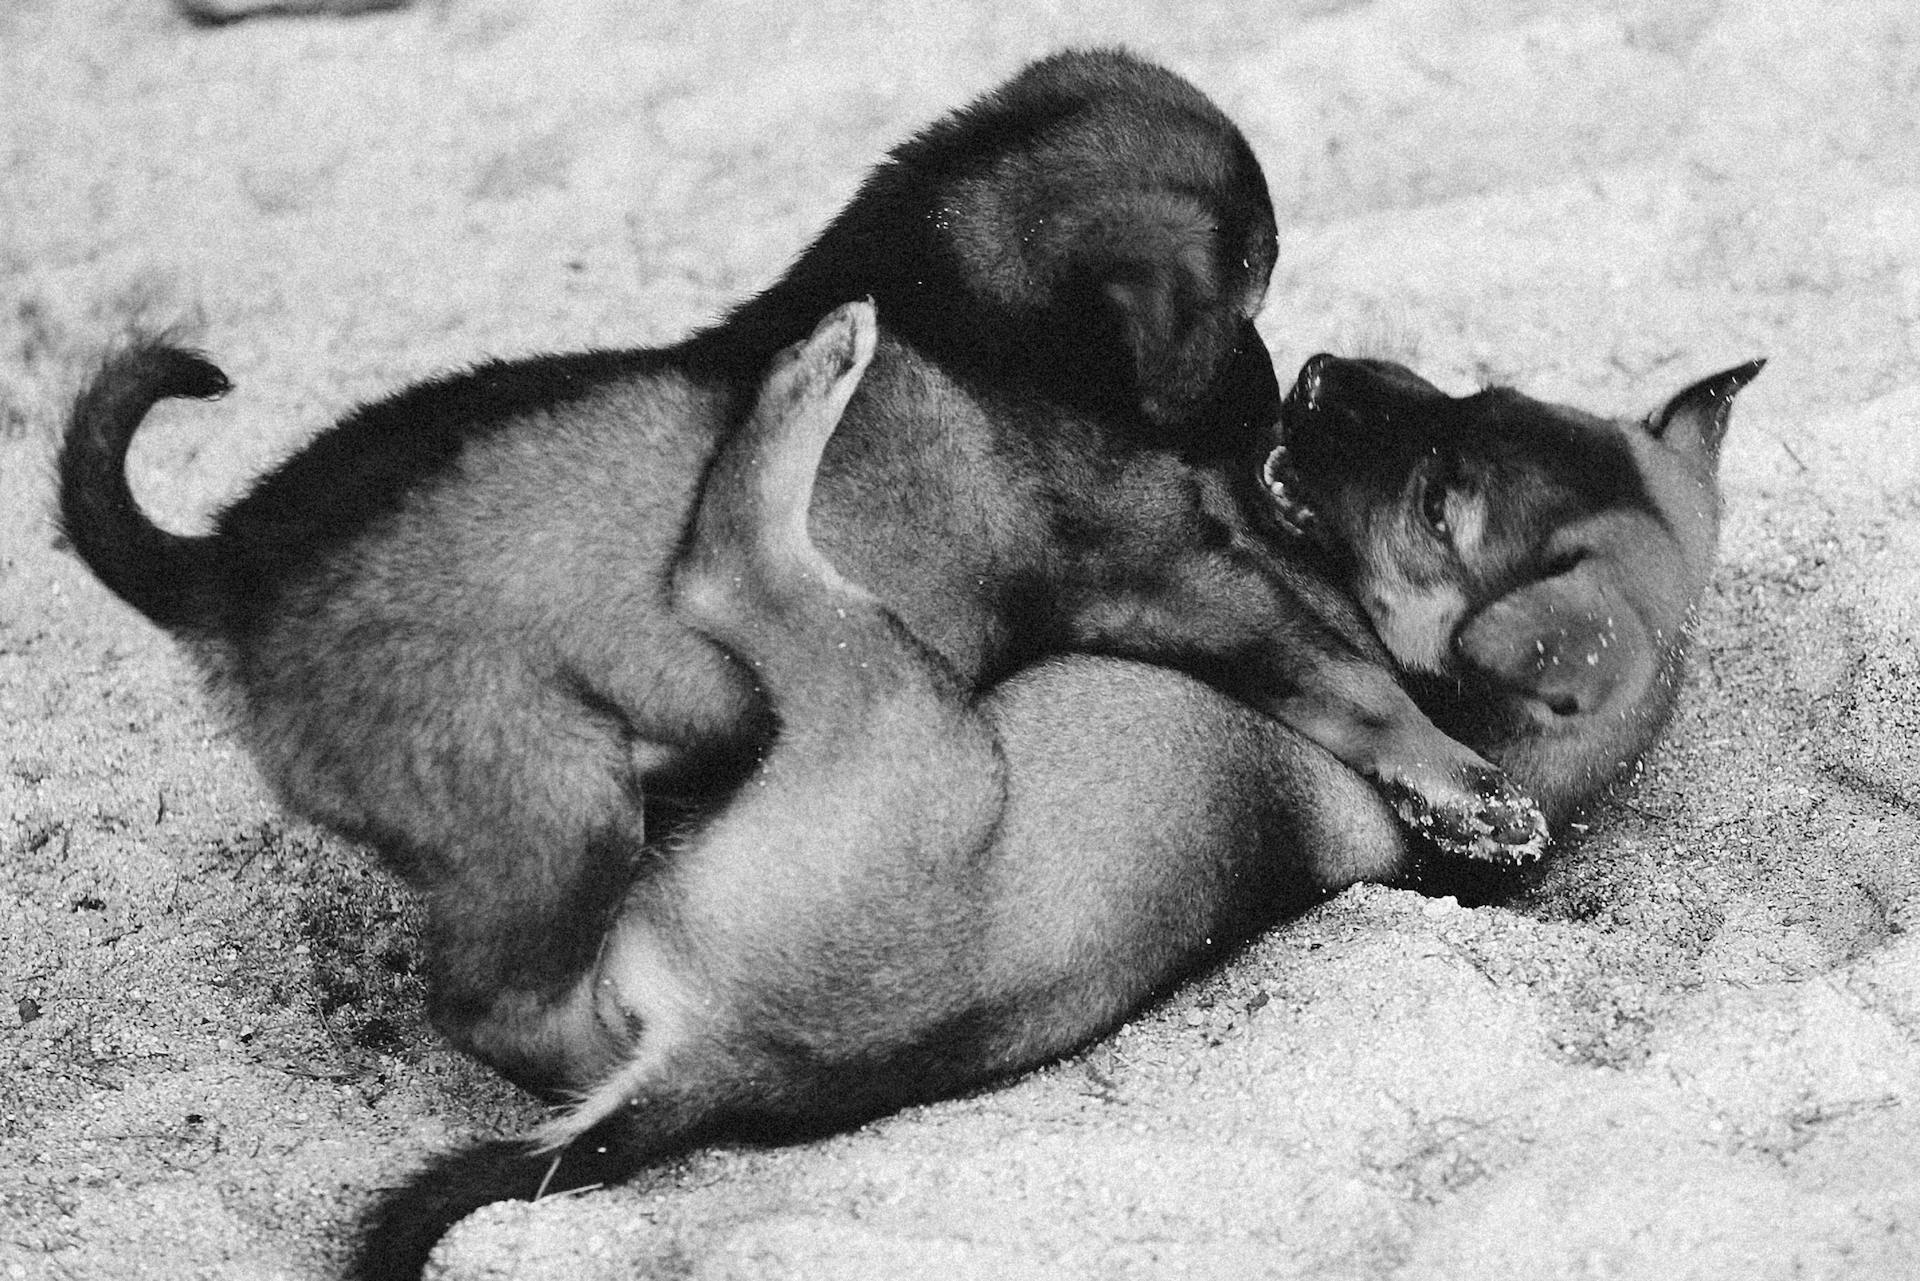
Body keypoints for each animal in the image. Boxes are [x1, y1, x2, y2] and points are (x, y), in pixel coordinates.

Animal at [56, 50, 1543, 1090]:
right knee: (499, 1006)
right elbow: (1346, 675)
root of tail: (222, 569)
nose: (1277, 388)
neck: (961, 301)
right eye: (1245, 292)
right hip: (543, 795)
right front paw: (1471, 791)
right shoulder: (1175, 574)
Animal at [353, 305, 1758, 1275]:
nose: (1314, 374)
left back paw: (814, 380)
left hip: (900, 701)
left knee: (728, 569)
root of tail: (714, 1068)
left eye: (1436, 506)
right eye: (1471, 397)